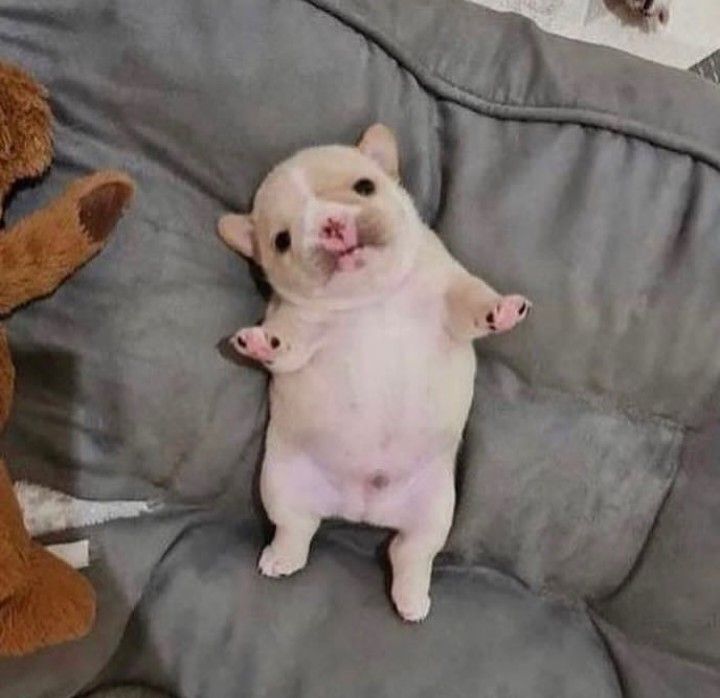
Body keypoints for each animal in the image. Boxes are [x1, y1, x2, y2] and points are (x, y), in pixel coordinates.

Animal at [218, 126, 528, 620]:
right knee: (297, 527)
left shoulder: (449, 291)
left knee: (411, 551)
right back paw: (283, 558)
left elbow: (471, 302)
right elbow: (286, 347)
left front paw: (498, 310)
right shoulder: (297, 325)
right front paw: (262, 342)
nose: (330, 224)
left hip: (435, 508)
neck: (370, 295)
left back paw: (411, 598)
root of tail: (361, 507)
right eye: (282, 240)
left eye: (365, 187)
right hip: (282, 483)